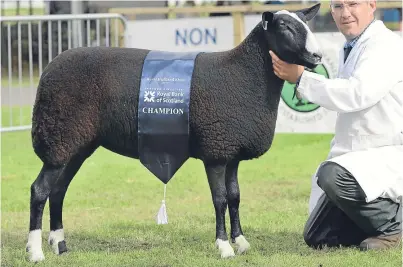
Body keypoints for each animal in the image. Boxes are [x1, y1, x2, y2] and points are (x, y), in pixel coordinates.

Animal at [26, 4, 322, 262]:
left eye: (306, 23)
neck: (244, 74)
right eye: (285, 27)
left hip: (75, 144)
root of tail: (50, 67)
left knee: (58, 190)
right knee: (39, 190)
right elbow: (220, 200)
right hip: (59, 135)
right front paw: (224, 246)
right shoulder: (215, 151)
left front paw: (241, 242)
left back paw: (60, 244)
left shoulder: (232, 152)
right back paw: (35, 251)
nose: (317, 57)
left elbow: (236, 197)